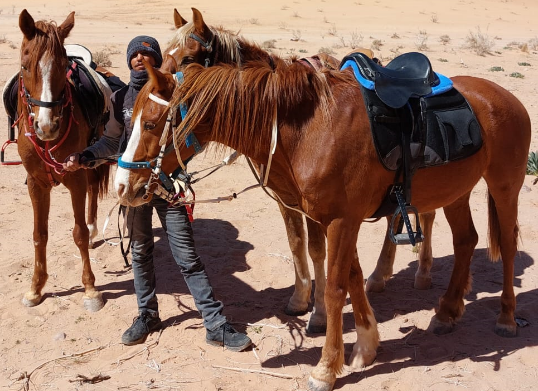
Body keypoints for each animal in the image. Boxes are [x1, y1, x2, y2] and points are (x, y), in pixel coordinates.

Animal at [14, 9, 108, 312]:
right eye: (25, 65)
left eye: (63, 65)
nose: (47, 126)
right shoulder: (36, 183)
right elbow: (39, 235)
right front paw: (35, 288)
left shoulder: (75, 177)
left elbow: (78, 233)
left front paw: (90, 289)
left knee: (93, 191)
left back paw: (94, 229)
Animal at [115, 56, 528, 391]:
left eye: (150, 123)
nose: (123, 186)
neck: (310, 128)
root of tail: (508, 98)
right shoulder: (336, 218)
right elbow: (352, 278)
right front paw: (366, 345)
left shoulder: (342, 220)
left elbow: (333, 290)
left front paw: (326, 368)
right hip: (456, 192)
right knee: (466, 241)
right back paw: (446, 311)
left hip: (505, 186)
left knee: (506, 246)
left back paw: (506, 317)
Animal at [165, 6, 438, 330]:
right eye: (164, 55)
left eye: (187, 59)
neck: (279, 118)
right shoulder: (286, 199)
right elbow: (296, 244)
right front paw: (298, 299)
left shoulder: (315, 205)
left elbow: (317, 249)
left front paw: (319, 314)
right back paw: (380, 276)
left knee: (424, 213)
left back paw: (418, 274)